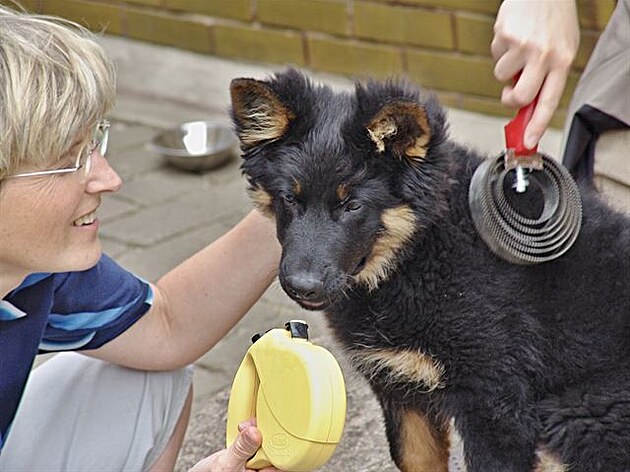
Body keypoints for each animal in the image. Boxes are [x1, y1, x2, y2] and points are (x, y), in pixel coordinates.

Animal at [230, 67, 628, 472]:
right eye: (289, 198)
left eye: (353, 204)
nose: (302, 287)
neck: (414, 254)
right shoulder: (401, 388)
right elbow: (414, 457)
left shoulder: (495, 400)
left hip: (583, 415)